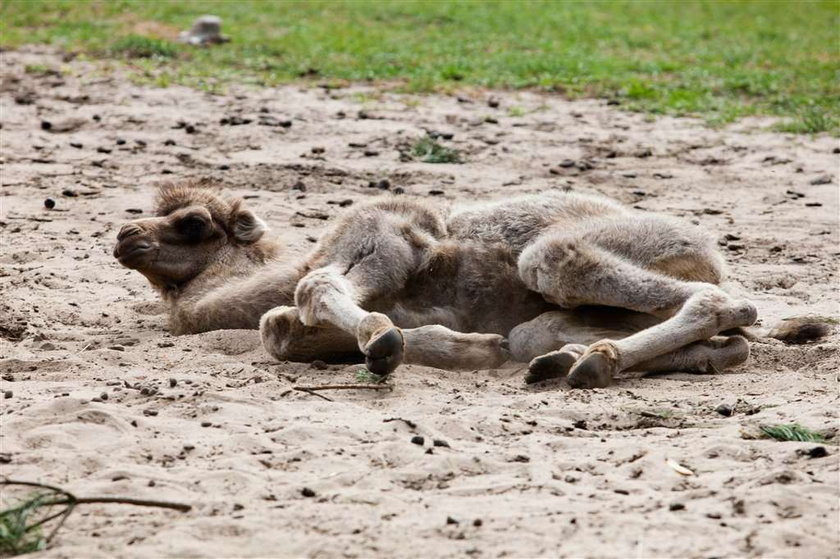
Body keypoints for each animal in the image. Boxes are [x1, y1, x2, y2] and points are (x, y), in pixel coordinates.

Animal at [113, 182, 756, 388]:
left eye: (192, 223)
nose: (124, 234)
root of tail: (711, 254)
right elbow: (280, 330)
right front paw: (462, 348)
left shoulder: (386, 235)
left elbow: (315, 291)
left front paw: (383, 342)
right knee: (733, 334)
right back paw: (577, 359)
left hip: (562, 256)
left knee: (726, 302)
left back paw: (590, 362)